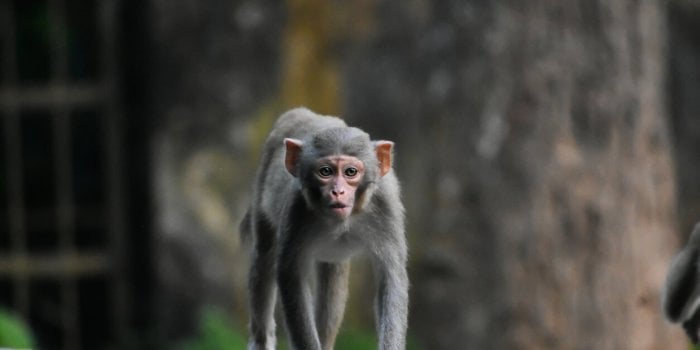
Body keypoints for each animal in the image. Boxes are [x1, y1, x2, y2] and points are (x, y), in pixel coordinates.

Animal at [239, 107, 408, 350]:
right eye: (326, 171)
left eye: (350, 172)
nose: (337, 191)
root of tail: (301, 112)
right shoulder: (297, 208)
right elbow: (292, 278)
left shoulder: (386, 207)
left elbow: (391, 279)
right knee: (264, 256)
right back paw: (261, 340)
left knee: (333, 273)